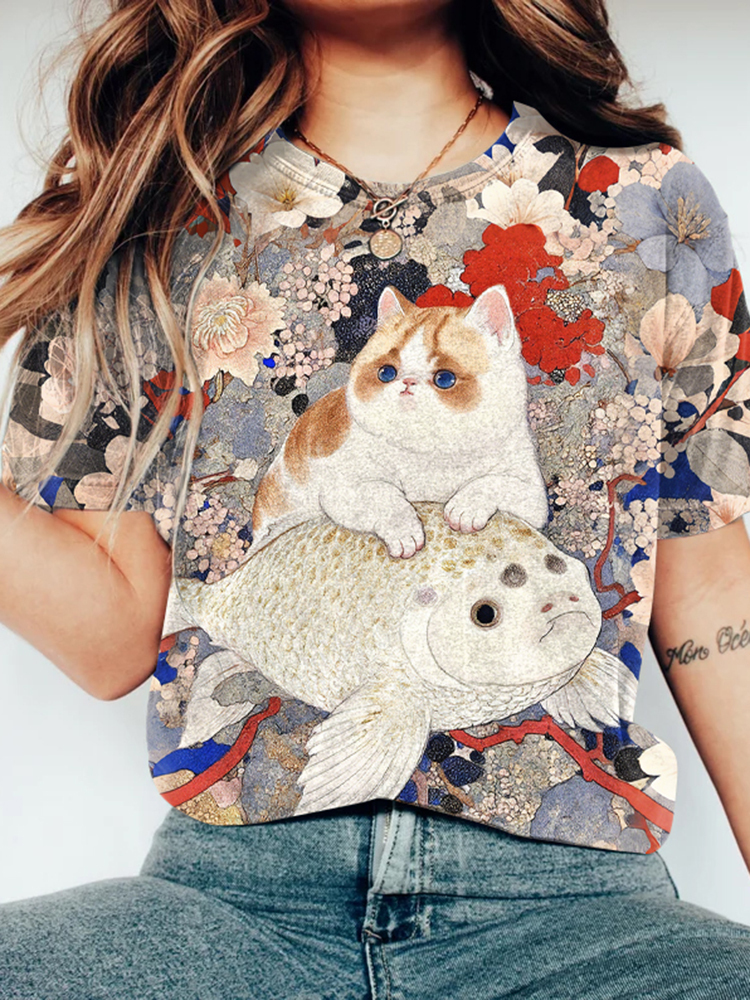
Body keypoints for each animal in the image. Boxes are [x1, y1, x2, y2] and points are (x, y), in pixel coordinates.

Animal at [251, 282, 549, 558]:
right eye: (386, 373)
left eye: (445, 378)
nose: (407, 382)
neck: (432, 454)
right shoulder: (341, 489)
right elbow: (384, 495)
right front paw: (404, 530)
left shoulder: (533, 495)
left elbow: (493, 483)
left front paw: (465, 507)